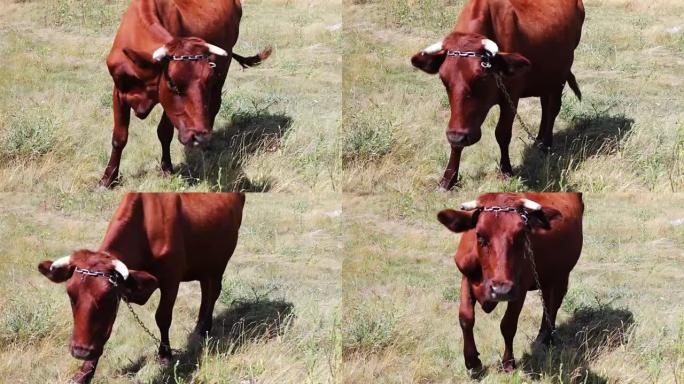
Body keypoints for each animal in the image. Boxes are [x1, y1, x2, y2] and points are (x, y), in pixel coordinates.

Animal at [37, 194, 244, 382]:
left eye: (108, 298)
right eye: (71, 295)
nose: (80, 351)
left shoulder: (171, 279)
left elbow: (162, 317)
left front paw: (165, 355)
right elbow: (104, 332)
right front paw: (84, 372)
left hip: (220, 260)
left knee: (213, 291)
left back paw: (204, 327)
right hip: (204, 263)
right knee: (205, 289)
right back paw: (199, 327)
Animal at [100, 0, 272, 188]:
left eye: (207, 80)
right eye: (172, 84)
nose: (201, 137)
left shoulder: (169, 104)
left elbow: (164, 133)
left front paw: (167, 168)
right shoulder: (119, 92)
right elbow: (119, 137)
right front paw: (108, 178)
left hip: (223, 70)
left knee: (215, 104)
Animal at [408, 0, 584, 190]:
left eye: (482, 77)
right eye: (443, 79)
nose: (458, 135)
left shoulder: (511, 96)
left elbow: (502, 133)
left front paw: (506, 170)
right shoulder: (459, 119)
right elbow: (456, 143)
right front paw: (448, 179)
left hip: (560, 75)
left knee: (553, 108)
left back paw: (546, 144)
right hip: (545, 78)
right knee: (545, 104)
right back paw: (539, 140)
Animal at [438, 194, 584, 374]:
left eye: (521, 236)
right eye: (479, 236)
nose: (501, 290)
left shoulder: (519, 288)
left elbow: (508, 324)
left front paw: (508, 362)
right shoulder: (466, 277)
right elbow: (466, 318)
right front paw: (472, 362)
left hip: (561, 274)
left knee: (553, 304)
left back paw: (547, 338)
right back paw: (541, 336)